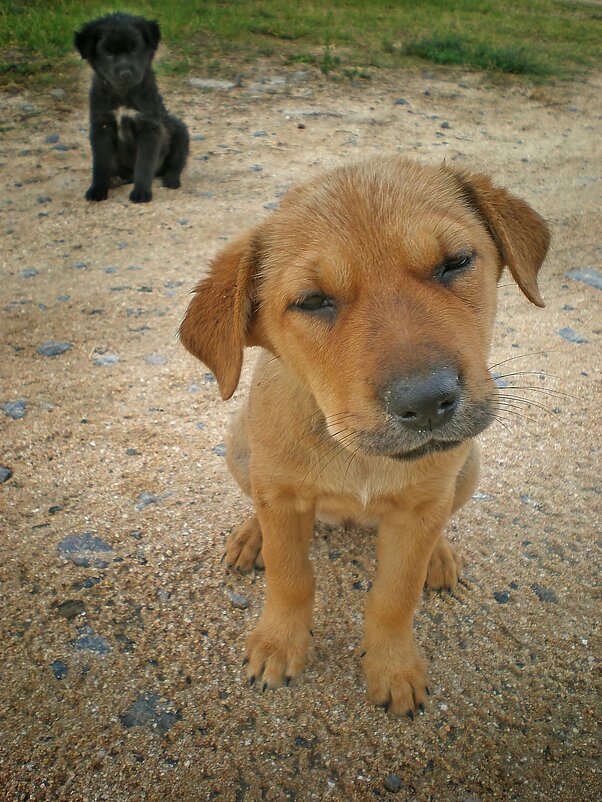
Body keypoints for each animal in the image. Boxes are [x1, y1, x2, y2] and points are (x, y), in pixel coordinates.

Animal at [74, 13, 188, 203]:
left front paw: (141, 192)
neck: (122, 95)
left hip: (180, 131)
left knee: (175, 165)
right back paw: (116, 179)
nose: (125, 73)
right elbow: (100, 164)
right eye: (108, 52)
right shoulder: (101, 125)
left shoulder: (149, 127)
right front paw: (97, 189)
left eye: (135, 49)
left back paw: (171, 180)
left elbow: (144, 164)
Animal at [179, 155, 548, 712]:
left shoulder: (418, 510)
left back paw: (440, 555)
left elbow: (395, 596)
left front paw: (393, 668)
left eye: (456, 262)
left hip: (468, 468)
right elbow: (290, 578)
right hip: (238, 447)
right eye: (312, 301)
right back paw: (250, 537)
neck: (356, 454)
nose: (427, 402)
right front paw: (278, 644)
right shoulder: (282, 498)